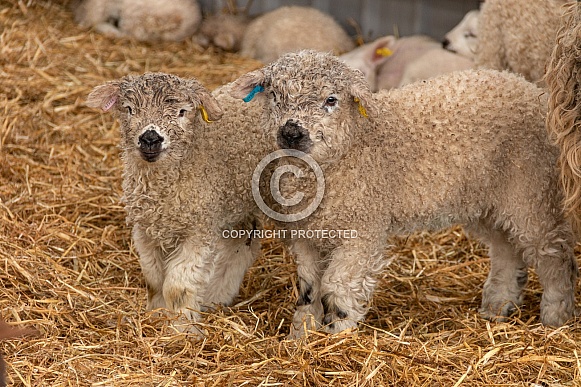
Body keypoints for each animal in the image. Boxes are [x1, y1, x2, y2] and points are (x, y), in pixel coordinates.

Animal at [230, 50, 576, 336]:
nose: (291, 133)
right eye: (274, 95)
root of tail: (530, 89)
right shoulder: (304, 234)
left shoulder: (362, 229)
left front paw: (338, 333)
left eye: (331, 100)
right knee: (507, 250)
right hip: (491, 200)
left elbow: (337, 286)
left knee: (554, 256)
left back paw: (556, 315)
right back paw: (498, 306)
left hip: (532, 193)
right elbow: (308, 287)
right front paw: (301, 334)